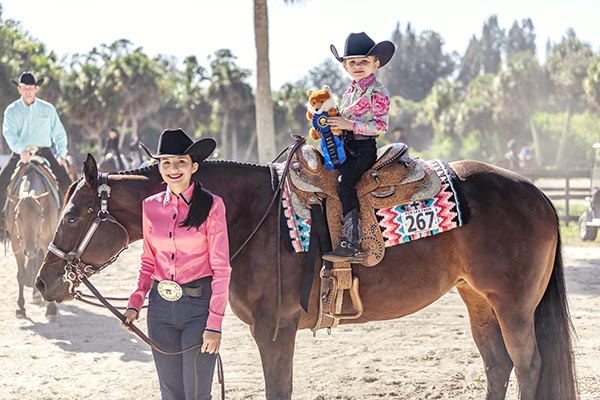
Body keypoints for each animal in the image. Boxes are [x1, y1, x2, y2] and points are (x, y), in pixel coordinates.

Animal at [4, 159, 59, 322]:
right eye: (17, 215)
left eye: (41, 214)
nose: (30, 250)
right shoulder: (17, 244)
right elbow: (21, 274)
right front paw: (20, 308)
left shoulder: (48, 242)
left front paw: (51, 309)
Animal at [36, 151, 576, 400]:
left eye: (73, 215)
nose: (43, 281)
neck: (250, 216)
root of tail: (538, 195)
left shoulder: (275, 331)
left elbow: (280, 389)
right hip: (478, 301)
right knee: (498, 365)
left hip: (513, 307)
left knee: (528, 365)